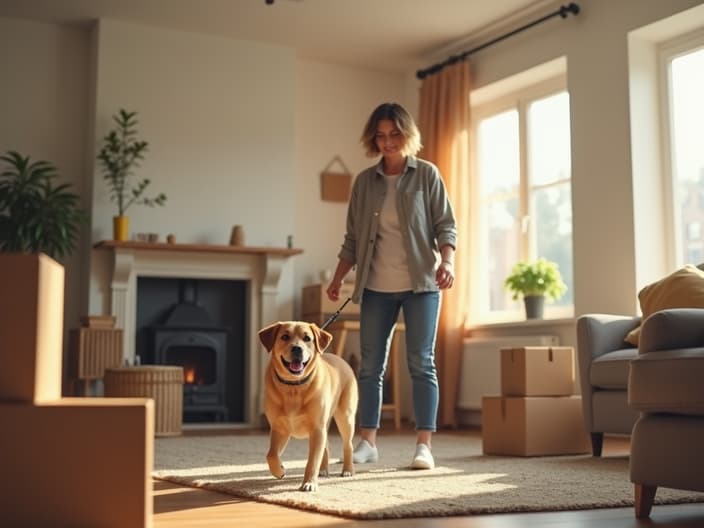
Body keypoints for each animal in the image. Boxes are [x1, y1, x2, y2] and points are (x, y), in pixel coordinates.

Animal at [258, 320, 358, 492]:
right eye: (285, 336)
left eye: (307, 338)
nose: (297, 348)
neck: (293, 388)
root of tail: (342, 359)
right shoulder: (280, 428)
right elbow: (271, 454)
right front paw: (279, 470)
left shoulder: (317, 428)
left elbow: (312, 460)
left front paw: (309, 482)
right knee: (326, 446)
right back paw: (323, 470)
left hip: (345, 417)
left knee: (348, 445)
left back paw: (347, 470)